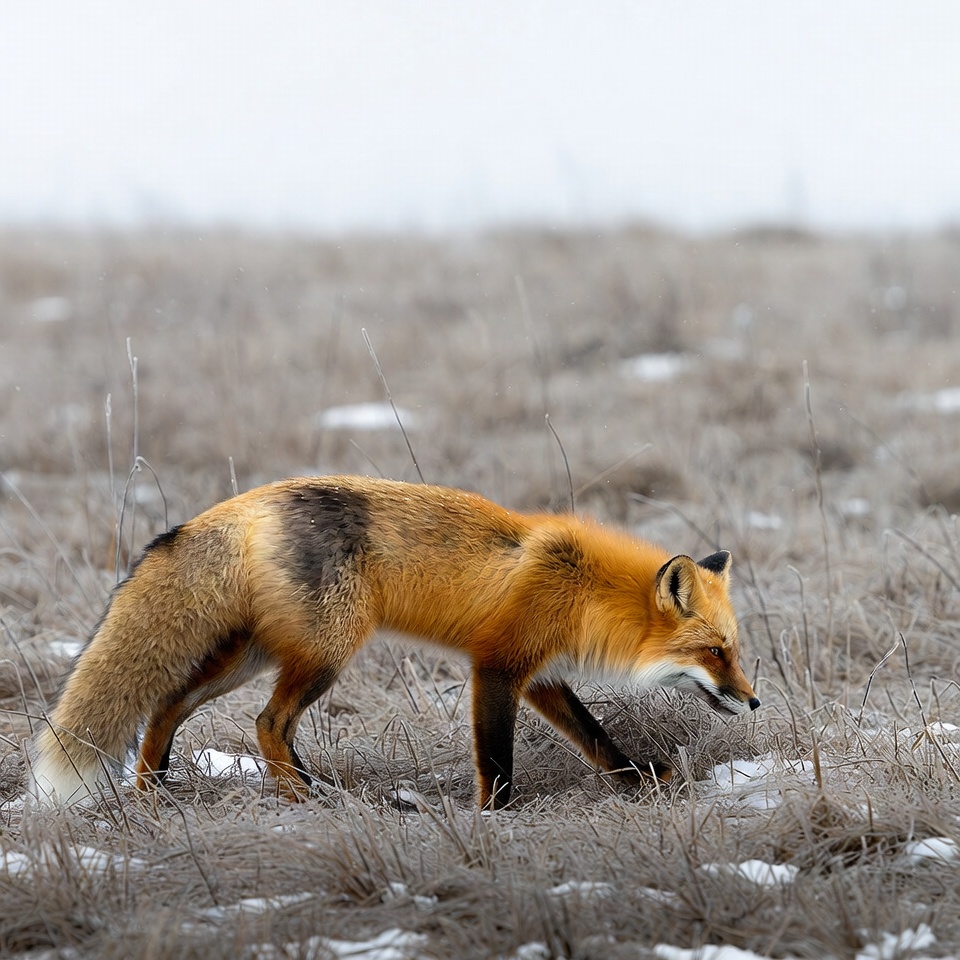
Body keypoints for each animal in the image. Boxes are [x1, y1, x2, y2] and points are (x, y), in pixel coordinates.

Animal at [31, 475, 759, 809]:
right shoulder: (497, 666)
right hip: (325, 655)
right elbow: (496, 758)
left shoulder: (542, 675)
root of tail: (246, 503)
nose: (754, 702)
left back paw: (154, 795)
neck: (583, 589)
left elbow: (596, 738)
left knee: (168, 705)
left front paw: (639, 783)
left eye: (734, 651)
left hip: (252, 654)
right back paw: (308, 800)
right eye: (714, 652)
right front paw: (494, 818)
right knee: (268, 722)